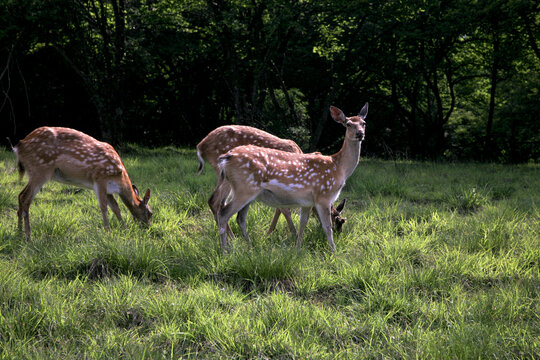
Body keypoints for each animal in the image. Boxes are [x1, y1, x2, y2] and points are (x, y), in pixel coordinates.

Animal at [13, 126, 153, 239]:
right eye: (150, 213)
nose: (148, 228)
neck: (120, 178)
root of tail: (20, 146)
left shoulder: (109, 189)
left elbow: (115, 208)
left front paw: (124, 229)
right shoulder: (100, 179)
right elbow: (103, 207)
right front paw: (108, 232)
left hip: (34, 172)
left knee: (20, 195)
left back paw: (18, 233)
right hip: (40, 170)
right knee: (25, 198)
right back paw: (28, 235)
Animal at [196, 125, 348, 238]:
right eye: (338, 220)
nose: (339, 234)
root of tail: (201, 145)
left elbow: (279, 208)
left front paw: (269, 232)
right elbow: (284, 209)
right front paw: (293, 234)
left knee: (216, 202)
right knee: (216, 202)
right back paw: (232, 238)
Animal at [215, 102, 368, 252]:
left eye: (364, 123)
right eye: (348, 124)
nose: (360, 133)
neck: (339, 168)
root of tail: (226, 157)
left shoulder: (308, 201)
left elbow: (302, 223)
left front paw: (298, 249)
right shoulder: (323, 195)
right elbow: (327, 227)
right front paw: (334, 253)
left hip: (248, 192)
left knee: (240, 218)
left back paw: (248, 247)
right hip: (244, 188)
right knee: (223, 214)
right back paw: (225, 250)